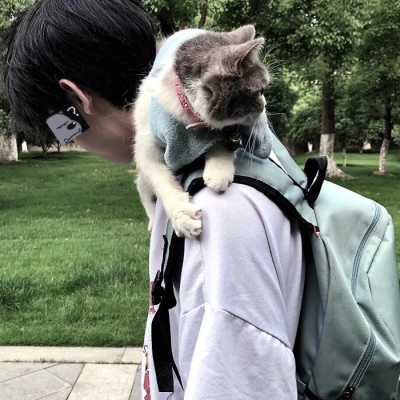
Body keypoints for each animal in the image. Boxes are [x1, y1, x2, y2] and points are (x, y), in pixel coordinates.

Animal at [134, 25, 268, 238]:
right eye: (261, 90)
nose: (265, 106)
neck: (191, 117)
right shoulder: (146, 147)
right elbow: (162, 181)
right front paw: (182, 217)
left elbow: (221, 139)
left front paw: (218, 171)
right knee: (143, 185)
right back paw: (153, 217)